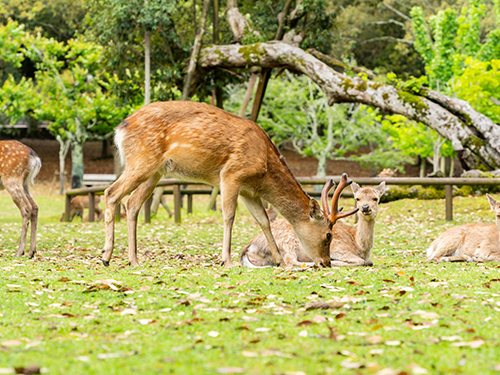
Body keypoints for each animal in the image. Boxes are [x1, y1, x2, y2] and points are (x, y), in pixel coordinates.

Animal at [102, 101, 360, 268]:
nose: (326, 262)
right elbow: (229, 215)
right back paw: (106, 256)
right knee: (110, 192)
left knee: (132, 203)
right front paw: (225, 260)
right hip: (142, 161)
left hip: (156, 172)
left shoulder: (249, 191)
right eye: (329, 235)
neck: (264, 168)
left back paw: (134, 259)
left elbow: (263, 220)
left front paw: (278, 260)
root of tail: (119, 128)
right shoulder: (231, 174)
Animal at [240, 181, 384, 268]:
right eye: (357, 198)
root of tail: (249, 248)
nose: (365, 207)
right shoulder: (337, 247)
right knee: (291, 262)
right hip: (287, 242)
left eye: (375, 198)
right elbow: (363, 261)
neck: (359, 246)